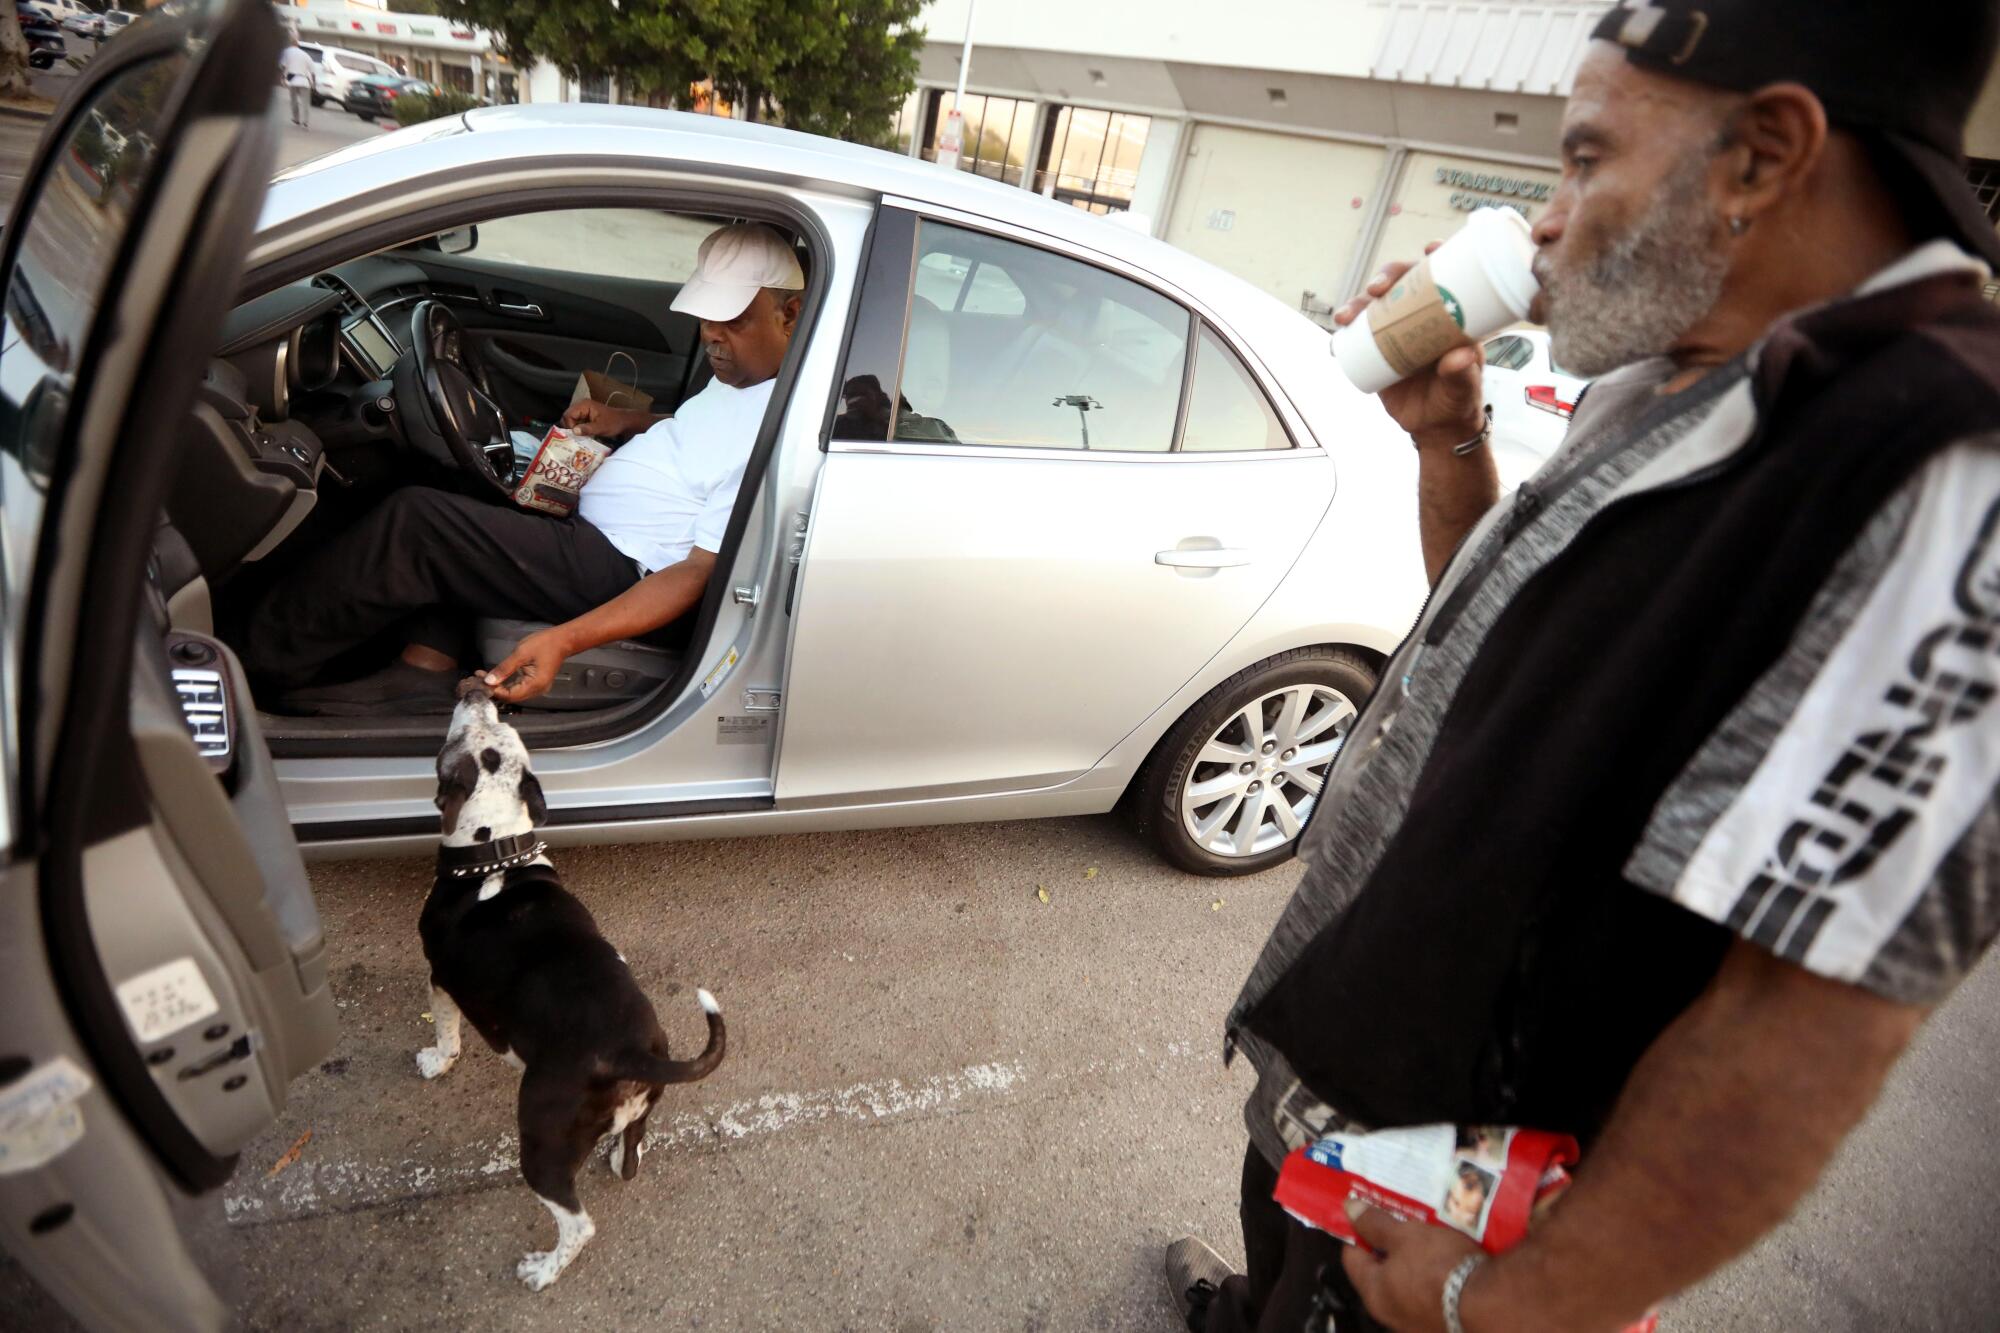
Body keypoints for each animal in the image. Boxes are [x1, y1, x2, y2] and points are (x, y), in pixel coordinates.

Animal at [416, 680, 728, 1280]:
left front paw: (434, 1062)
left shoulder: (441, 980)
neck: (496, 849)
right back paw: (621, 1155)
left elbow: (446, 1035)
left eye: (468, 739)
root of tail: (632, 1054)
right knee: (629, 1158)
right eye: (500, 733)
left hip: (541, 1143)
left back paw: (541, 1271)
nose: (478, 687)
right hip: (635, 1116)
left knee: (577, 1224)